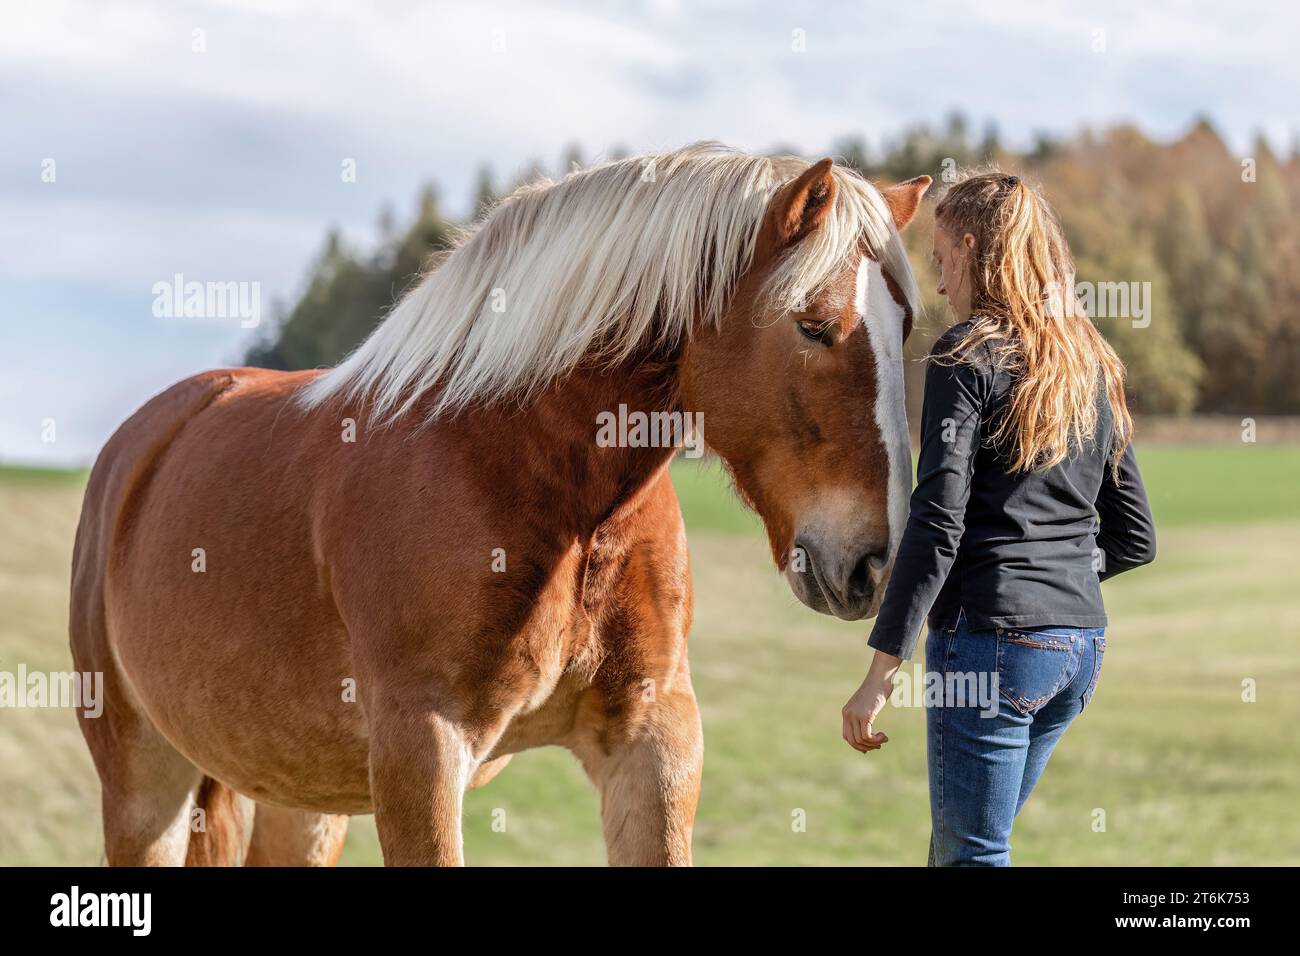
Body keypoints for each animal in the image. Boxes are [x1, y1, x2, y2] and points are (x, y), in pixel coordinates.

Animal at [71, 143, 930, 868]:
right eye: (813, 326)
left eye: (907, 329)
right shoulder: (422, 752)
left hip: (302, 798)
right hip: (146, 782)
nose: (872, 562)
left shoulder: (652, 739)